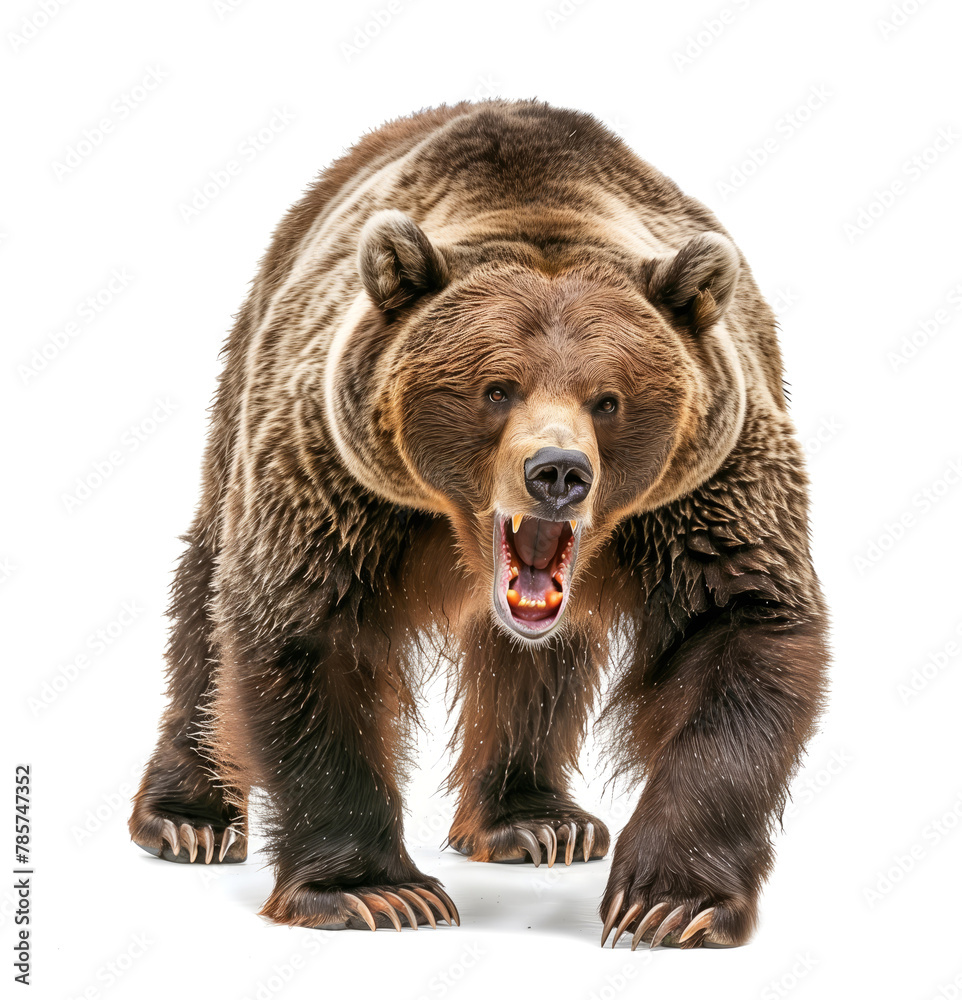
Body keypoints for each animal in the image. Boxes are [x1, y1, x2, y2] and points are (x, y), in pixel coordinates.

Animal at [129, 98, 828, 949]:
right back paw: (186, 818)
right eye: (497, 388)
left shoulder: (706, 493)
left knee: (537, 667)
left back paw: (537, 820)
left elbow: (737, 631)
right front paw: (375, 891)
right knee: (205, 595)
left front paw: (671, 903)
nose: (557, 472)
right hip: (251, 364)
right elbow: (307, 628)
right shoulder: (338, 481)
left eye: (609, 398)